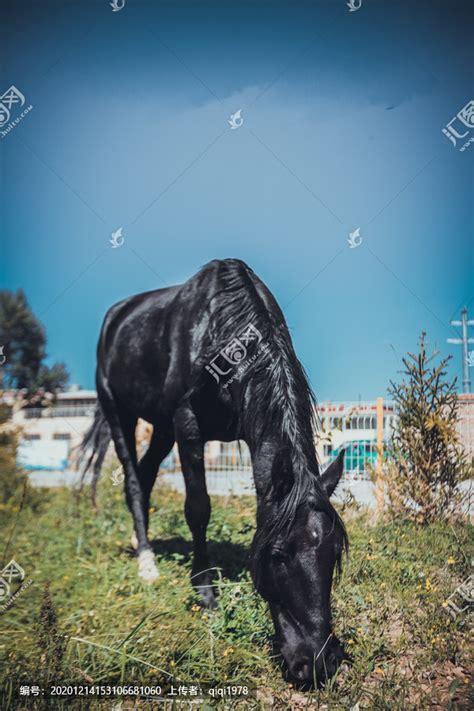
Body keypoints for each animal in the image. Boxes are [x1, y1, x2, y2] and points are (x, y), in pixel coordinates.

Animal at [79, 258, 348, 686]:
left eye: (335, 552)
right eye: (277, 555)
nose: (317, 664)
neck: (224, 336)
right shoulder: (187, 426)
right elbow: (198, 508)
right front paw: (205, 591)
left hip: (161, 426)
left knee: (148, 474)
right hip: (119, 411)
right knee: (134, 481)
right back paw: (147, 562)